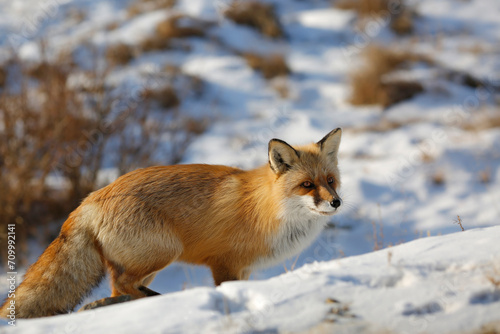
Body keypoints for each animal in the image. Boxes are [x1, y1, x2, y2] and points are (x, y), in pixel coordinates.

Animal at [0, 128, 342, 318]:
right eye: (307, 185)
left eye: (330, 181)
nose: (336, 202)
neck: (268, 209)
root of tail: (91, 198)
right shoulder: (225, 264)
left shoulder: (243, 270)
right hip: (164, 251)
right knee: (122, 285)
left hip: (149, 262)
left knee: (118, 289)